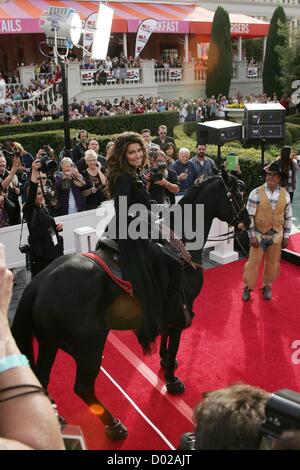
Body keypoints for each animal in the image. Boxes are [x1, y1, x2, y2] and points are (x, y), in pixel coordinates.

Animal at [11, 172, 250, 440]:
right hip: (89, 348)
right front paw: (172, 379)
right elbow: (174, 341)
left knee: (42, 378)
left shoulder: (163, 311)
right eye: (238, 192)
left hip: (49, 344)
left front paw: (165, 361)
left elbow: (166, 336)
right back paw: (113, 425)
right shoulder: (179, 310)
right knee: (83, 388)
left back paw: (57, 418)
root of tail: (37, 284)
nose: (247, 221)